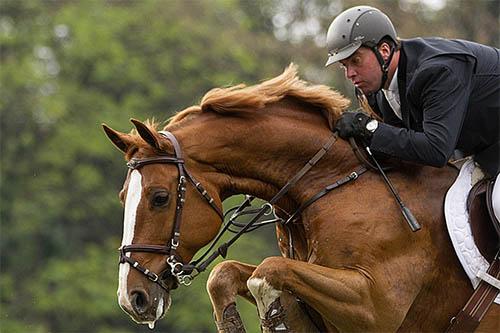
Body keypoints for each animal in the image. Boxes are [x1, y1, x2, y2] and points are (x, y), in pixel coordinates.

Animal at [103, 64, 498, 330]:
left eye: (159, 197)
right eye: (123, 197)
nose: (131, 298)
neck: (332, 183)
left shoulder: (375, 305)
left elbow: (268, 271)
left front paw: (275, 315)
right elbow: (225, 274)